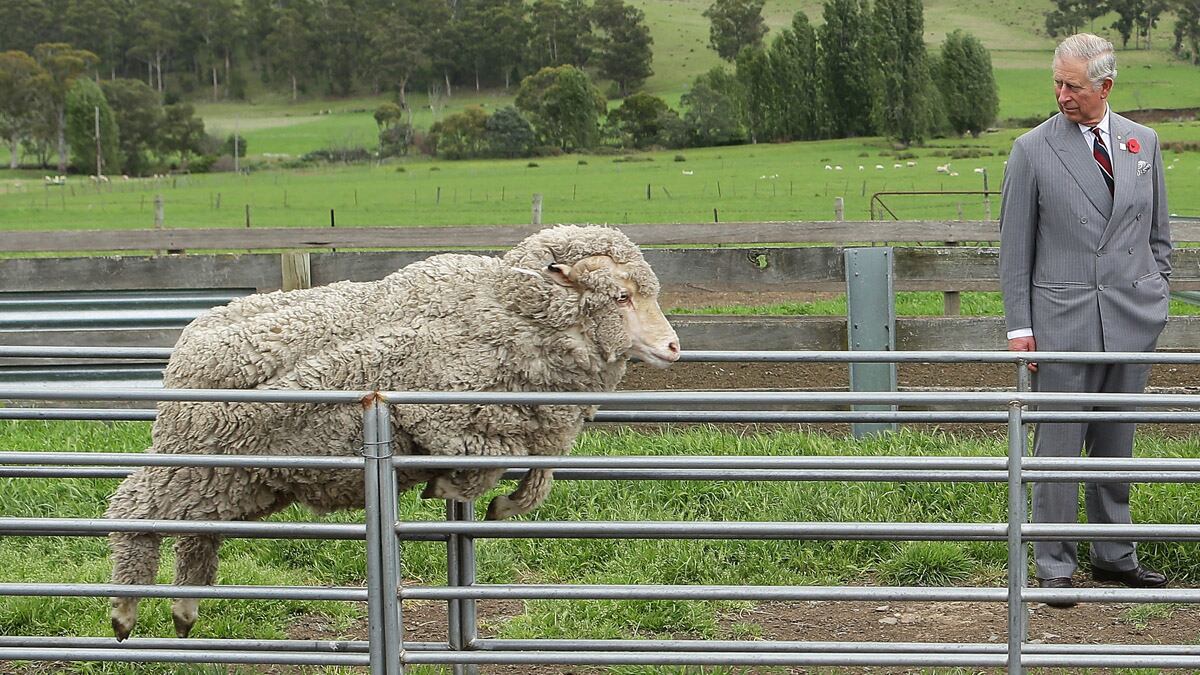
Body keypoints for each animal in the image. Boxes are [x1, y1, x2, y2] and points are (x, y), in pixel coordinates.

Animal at [105, 224, 681, 641]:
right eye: (621, 296)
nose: (674, 348)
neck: (498, 309)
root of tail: (187, 341)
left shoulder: (531, 425)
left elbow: (538, 477)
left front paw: (504, 504)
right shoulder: (447, 418)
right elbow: (487, 466)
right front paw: (450, 487)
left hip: (233, 477)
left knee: (196, 531)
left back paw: (184, 612)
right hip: (192, 460)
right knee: (134, 509)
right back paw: (124, 612)